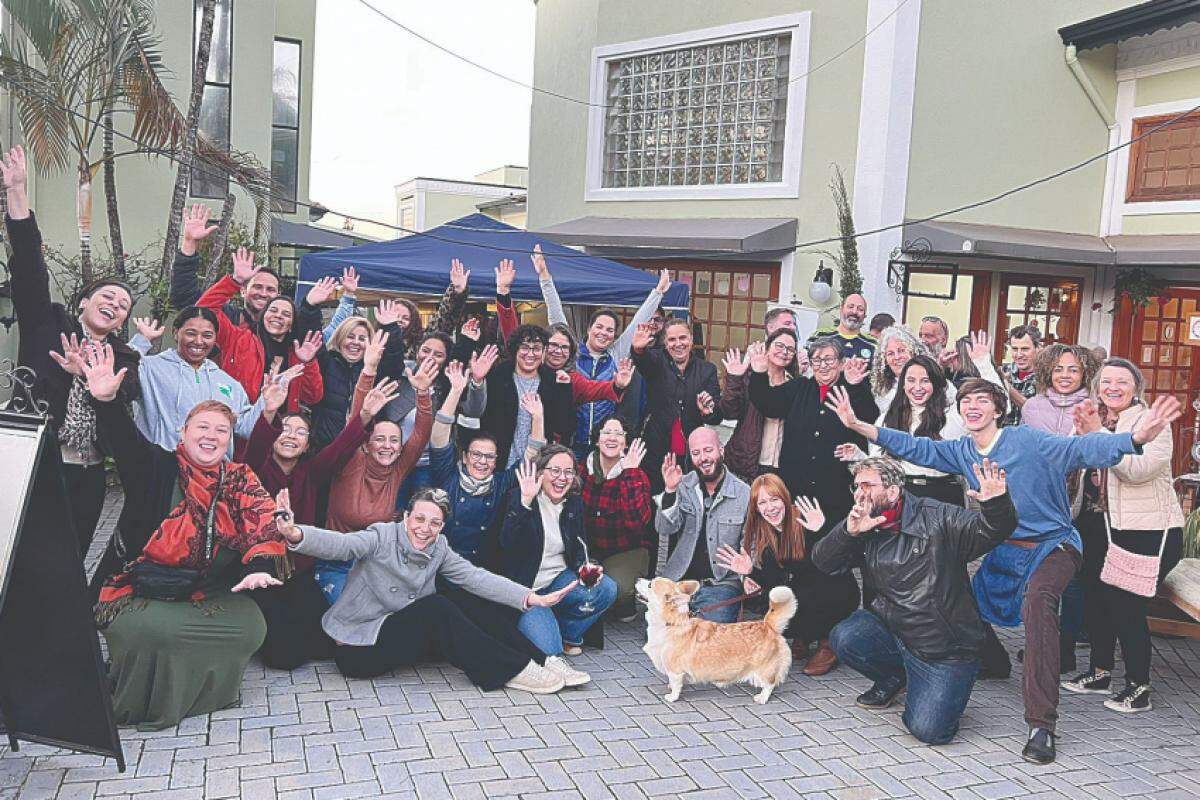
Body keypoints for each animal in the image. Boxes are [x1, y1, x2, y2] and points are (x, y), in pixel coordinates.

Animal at [638, 578, 796, 705]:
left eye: (650, 584)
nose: (638, 579)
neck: (672, 623)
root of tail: (768, 625)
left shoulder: (675, 670)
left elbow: (676, 685)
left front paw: (672, 696)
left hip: (764, 670)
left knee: (770, 684)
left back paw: (761, 698)